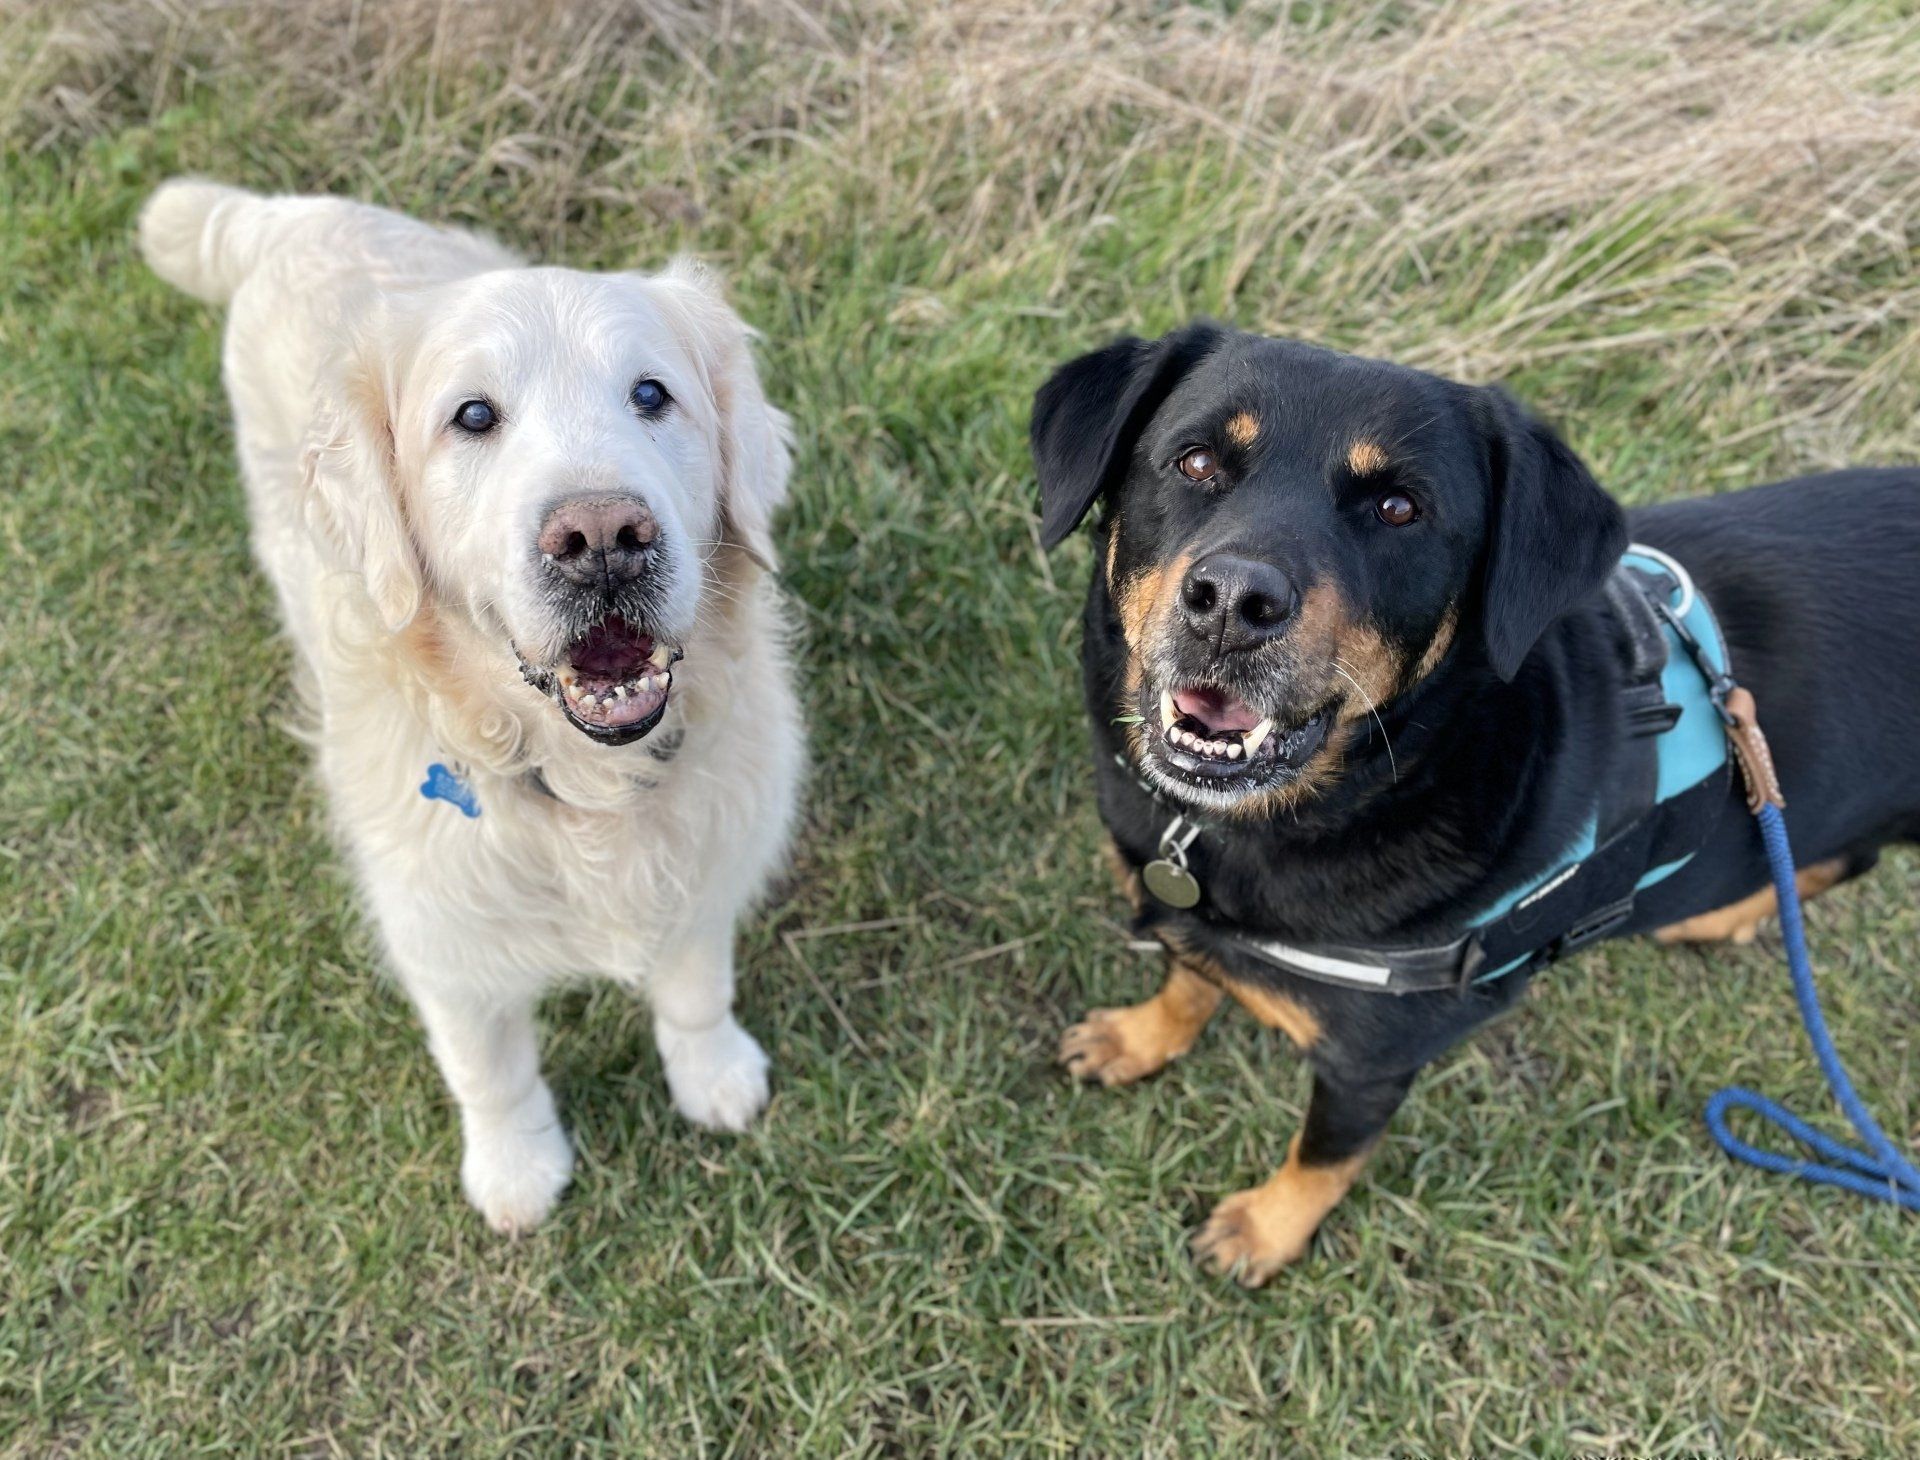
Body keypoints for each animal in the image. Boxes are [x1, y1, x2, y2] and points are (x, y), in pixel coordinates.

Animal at [141, 180, 803, 1232]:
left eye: (651, 395)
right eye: (474, 415)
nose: (603, 538)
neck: (584, 789)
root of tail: (292, 211)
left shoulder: (706, 857)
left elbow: (697, 987)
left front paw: (714, 1076)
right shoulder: (442, 941)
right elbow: (489, 1070)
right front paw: (517, 1168)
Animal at [1032, 322, 1920, 1284]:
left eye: (1398, 509)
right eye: (1194, 462)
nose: (1234, 601)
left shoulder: (1372, 1061)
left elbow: (1326, 1154)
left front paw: (1263, 1231)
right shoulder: (1191, 908)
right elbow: (1190, 974)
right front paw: (1136, 1038)